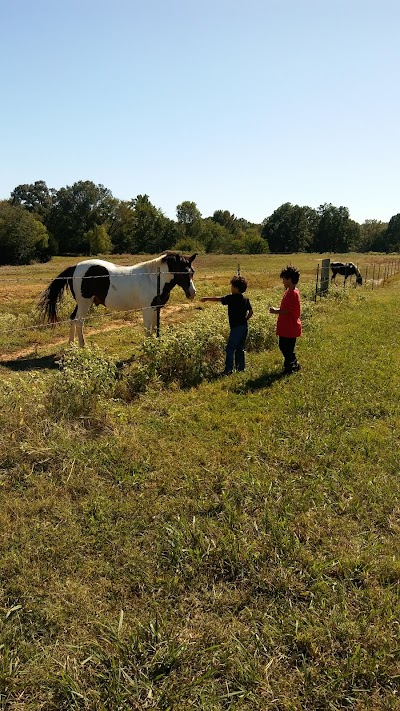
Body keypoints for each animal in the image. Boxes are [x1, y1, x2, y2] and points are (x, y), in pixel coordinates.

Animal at [38, 253, 198, 348]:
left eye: (192, 271)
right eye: (182, 271)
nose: (192, 293)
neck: (153, 277)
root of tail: (74, 267)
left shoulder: (155, 308)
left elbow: (153, 328)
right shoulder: (146, 308)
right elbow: (148, 329)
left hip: (81, 303)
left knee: (72, 319)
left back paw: (71, 345)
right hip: (84, 303)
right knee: (79, 321)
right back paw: (83, 346)